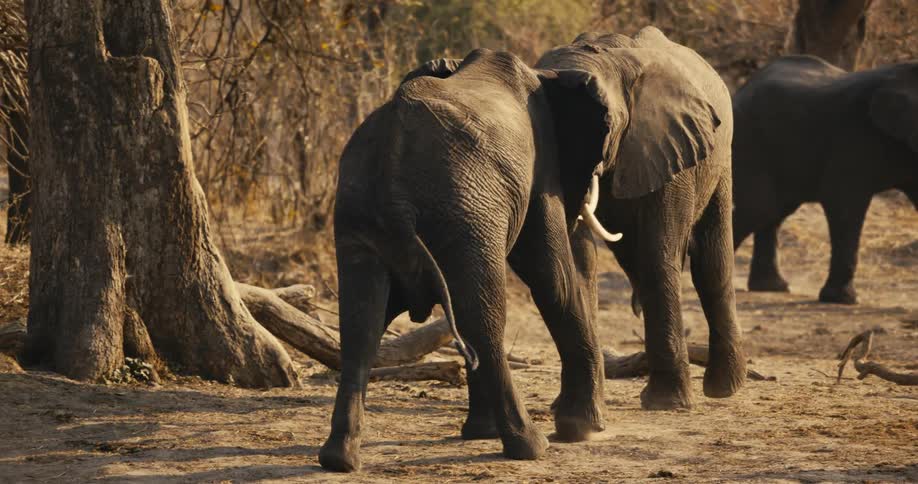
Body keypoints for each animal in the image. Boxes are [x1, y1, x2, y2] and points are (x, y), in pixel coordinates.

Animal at [534, 27, 747, 410]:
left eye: (605, 124)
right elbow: (579, 262)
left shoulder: (668, 147)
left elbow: (656, 255)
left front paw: (666, 403)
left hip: (719, 158)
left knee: (710, 262)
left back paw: (723, 389)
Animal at [732, 55, 918, 304]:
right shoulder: (854, 135)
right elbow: (843, 203)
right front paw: (843, 300)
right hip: (750, 141)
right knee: (759, 208)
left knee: (773, 212)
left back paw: (772, 288)